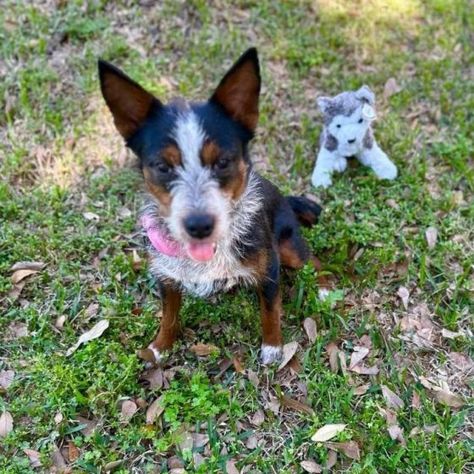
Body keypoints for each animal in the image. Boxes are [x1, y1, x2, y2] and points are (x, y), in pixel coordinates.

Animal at [99, 48, 330, 364]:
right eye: (162, 166)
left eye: (222, 162)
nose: (199, 226)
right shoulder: (166, 276)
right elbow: (168, 316)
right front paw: (160, 347)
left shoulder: (269, 270)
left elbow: (270, 312)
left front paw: (273, 347)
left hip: (289, 247)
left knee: (313, 259)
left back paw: (325, 289)